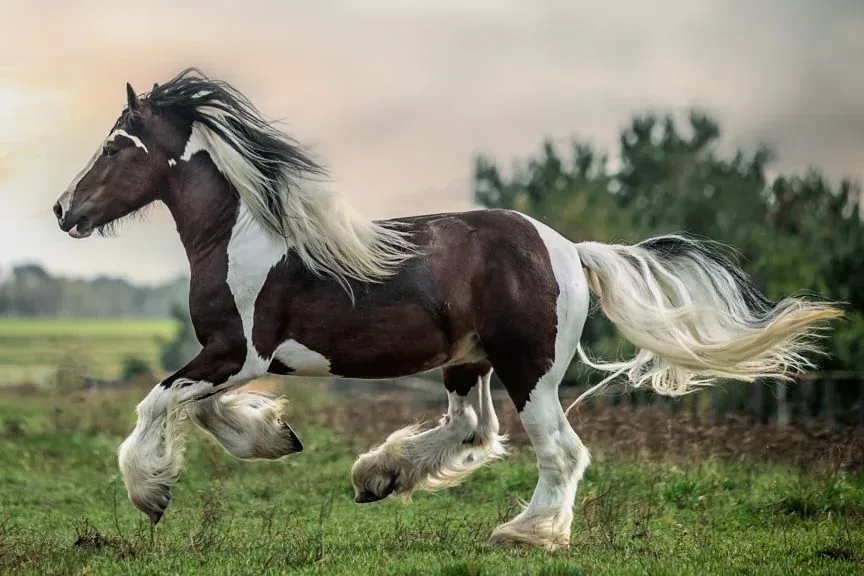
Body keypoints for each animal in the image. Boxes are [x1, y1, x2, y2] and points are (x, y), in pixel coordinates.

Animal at [52, 68, 841, 551]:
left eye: (117, 144)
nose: (64, 210)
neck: (241, 235)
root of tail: (569, 247)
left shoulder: (239, 351)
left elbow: (159, 401)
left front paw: (151, 493)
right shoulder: (236, 359)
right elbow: (201, 406)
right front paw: (275, 437)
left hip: (530, 370)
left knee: (558, 449)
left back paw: (524, 533)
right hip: (469, 362)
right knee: (473, 429)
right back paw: (379, 477)